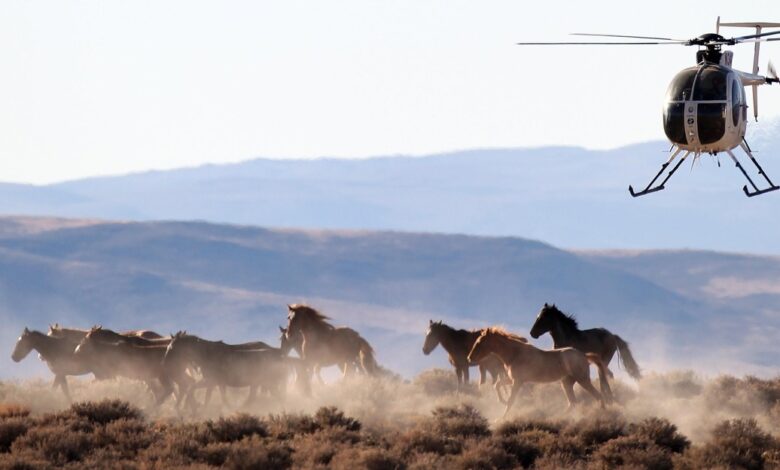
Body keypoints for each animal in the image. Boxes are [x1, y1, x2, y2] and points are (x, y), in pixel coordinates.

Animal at [162, 332, 300, 408]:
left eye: (172, 348)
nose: (164, 364)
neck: (206, 355)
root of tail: (279, 355)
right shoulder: (215, 383)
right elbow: (211, 397)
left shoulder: (212, 381)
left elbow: (194, 390)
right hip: (263, 383)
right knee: (272, 397)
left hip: (263, 383)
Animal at [468, 327, 607, 418]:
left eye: (479, 342)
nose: (469, 358)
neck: (515, 354)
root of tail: (583, 355)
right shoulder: (513, 380)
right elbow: (497, 385)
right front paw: (502, 401)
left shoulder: (517, 382)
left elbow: (511, 400)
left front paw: (502, 417)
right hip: (566, 383)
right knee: (573, 403)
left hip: (582, 380)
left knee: (598, 396)